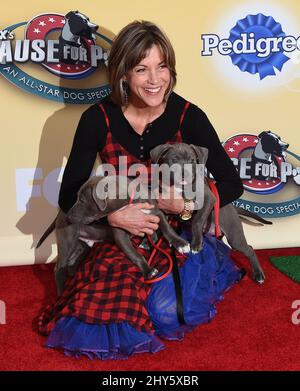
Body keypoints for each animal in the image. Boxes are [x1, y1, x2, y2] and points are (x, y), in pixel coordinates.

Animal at [151, 143, 270, 284]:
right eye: (174, 160)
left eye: (192, 160)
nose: (185, 174)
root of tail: (233, 209)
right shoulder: (163, 204)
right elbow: (164, 223)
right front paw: (160, 238)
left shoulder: (208, 198)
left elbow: (197, 221)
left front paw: (196, 243)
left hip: (234, 237)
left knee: (249, 249)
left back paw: (258, 274)